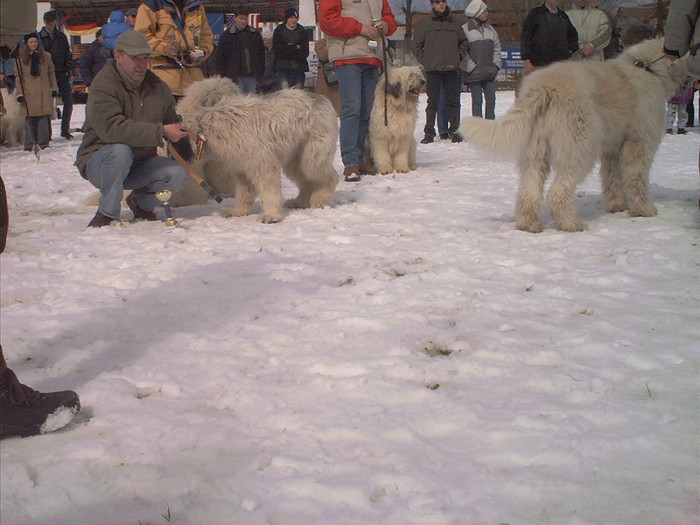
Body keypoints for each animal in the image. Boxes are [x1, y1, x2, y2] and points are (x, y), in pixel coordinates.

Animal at [175, 78, 340, 223]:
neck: (205, 131)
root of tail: (321, 97)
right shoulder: (241, 169)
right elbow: (243, 193)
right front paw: (238, 212)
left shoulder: (262, 163)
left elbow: (269, 191)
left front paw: (271, 215)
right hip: (295, 159)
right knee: (305, 181)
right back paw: (300, 201)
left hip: (312, 155)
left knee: (330, 176)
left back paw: (319, 197)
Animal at [462, 39, 688, 231]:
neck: (648, 69)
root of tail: (544, 87)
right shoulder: (640, 142)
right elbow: (636, 177)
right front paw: (644, 210)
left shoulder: (613, 147)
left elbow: (613, 177)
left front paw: (617, 206)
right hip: (578, 148)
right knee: (557, 192)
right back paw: (571, 224)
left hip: (536, 152)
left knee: (529, 190)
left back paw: (529, 224)